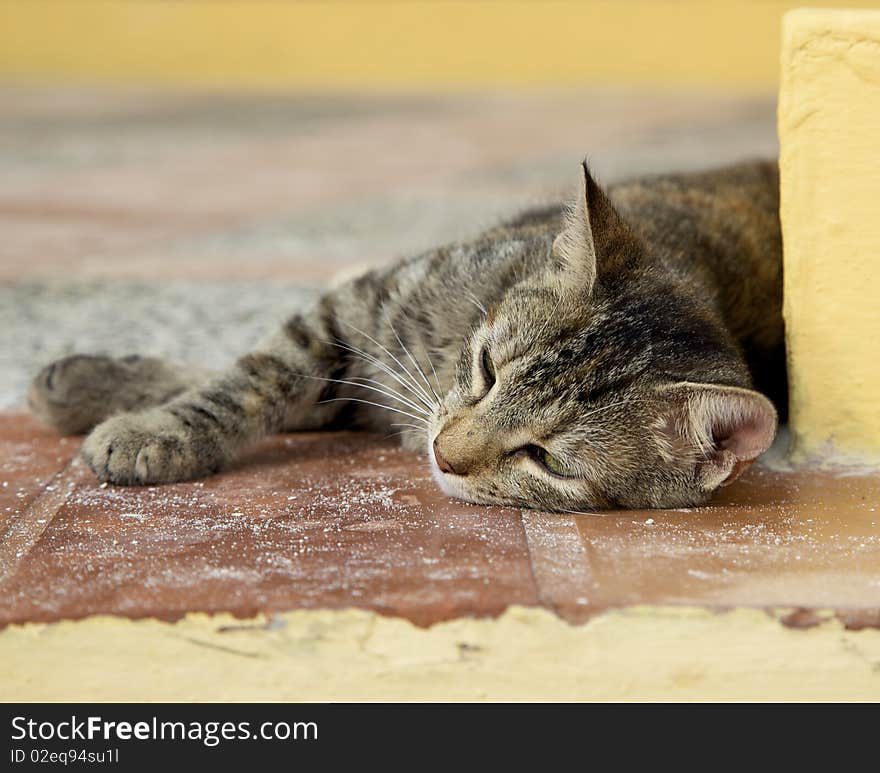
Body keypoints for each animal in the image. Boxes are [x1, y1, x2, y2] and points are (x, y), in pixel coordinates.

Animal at [25, 160, 784, 510]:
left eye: (546, 459)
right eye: (486, 369)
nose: (443, 453)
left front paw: (132, 417)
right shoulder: (354, 309)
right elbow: (248, 379)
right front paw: (135, 411)